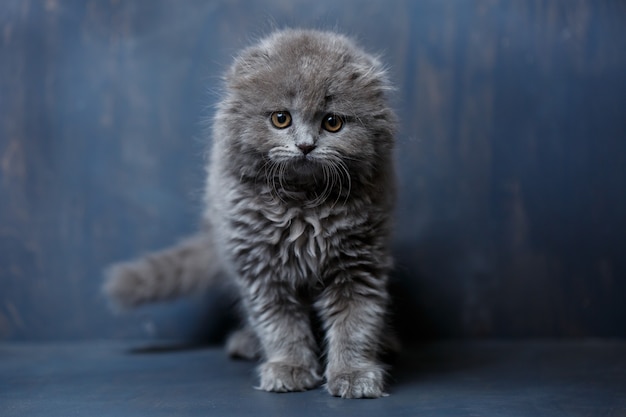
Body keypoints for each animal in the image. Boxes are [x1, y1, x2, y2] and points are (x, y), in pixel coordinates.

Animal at [103, 27, 394, 398]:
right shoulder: (261, 268)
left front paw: (354, 375)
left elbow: (355, 322)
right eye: (281, 119)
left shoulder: (359, 264)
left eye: (332, 123)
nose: (305, 145)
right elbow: (280, 326)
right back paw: (248, 343)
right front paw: (290, 368)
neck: (303, 205)